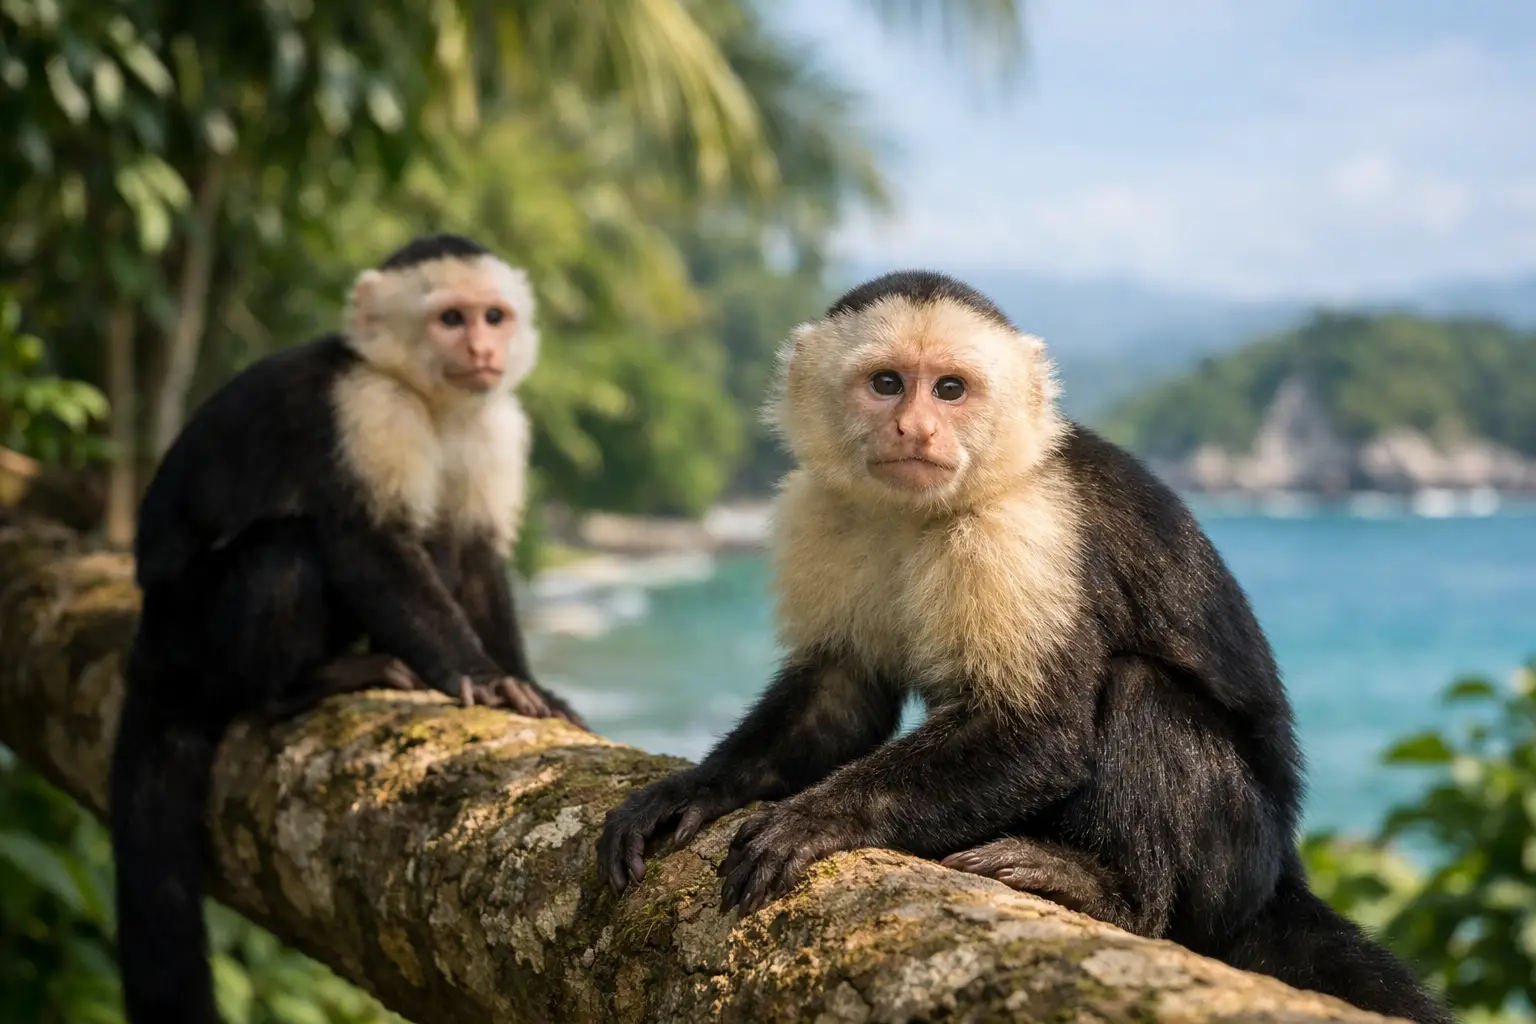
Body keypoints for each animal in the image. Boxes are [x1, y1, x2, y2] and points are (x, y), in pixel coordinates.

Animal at [109, 233, 586, 1024]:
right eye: (451, 319)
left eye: (494, 315)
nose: (484, 347)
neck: (428, 398)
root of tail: (148, 642)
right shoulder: (367, 408)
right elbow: (368, 540)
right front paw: (481, 676)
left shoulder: (492, 423)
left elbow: (476, 553)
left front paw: (529, 686)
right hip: (188, 629)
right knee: (285, 553)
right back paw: (305, 685)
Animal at [596, 270, 1451, 1024]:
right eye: (886, 384)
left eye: (950, 390)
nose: (916, 429)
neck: (925, 510)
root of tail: (1279, 873)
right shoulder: (822, 508)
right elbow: (838, 697)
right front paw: (696, 791)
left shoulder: (1025, 526)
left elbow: (1039, 732)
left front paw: (816, 818)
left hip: (1233, 859)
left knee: (1139, 691)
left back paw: (1118, 896)